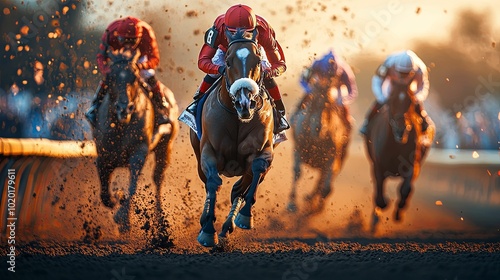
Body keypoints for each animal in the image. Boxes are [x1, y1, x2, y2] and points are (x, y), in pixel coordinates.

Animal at [92, 51, 178, 233]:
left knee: (158, 179)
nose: (124, 108)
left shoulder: (139, 152)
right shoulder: (103, 155)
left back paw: (160, 222)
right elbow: (104, 192)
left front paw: (123, 218)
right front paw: (116, 197)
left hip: (165, 147)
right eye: (110, 77)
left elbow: (132, 186)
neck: (121, 126)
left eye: (135, 78)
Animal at [190, 31, 276, 248]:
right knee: (209, 183)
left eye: (258, 61)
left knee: (240, 188)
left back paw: (228, 225)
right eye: (228, 63)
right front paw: (207, 231)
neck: (238, 117)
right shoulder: (208, 151)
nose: (245, 102)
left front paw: (245, 217)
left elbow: (257, 169)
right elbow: (213, 182)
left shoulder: (265, 150)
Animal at [288, 83, 354, 214]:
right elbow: (297, 172)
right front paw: (292, 204)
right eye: (313, 103)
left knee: (323, 180)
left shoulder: (332, 157)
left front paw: (317, 204)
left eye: (329, 106)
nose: (318, 127)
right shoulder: (298, 149)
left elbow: (327, 186)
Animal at [364, 81, 434, 230]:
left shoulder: (413, 166)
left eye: (411, 101)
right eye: (392, 100)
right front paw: (384, 204)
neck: (396, 146)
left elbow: (405, 189)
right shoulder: (378, 166)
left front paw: (399, 212)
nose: (401, 130)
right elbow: (379, 196)